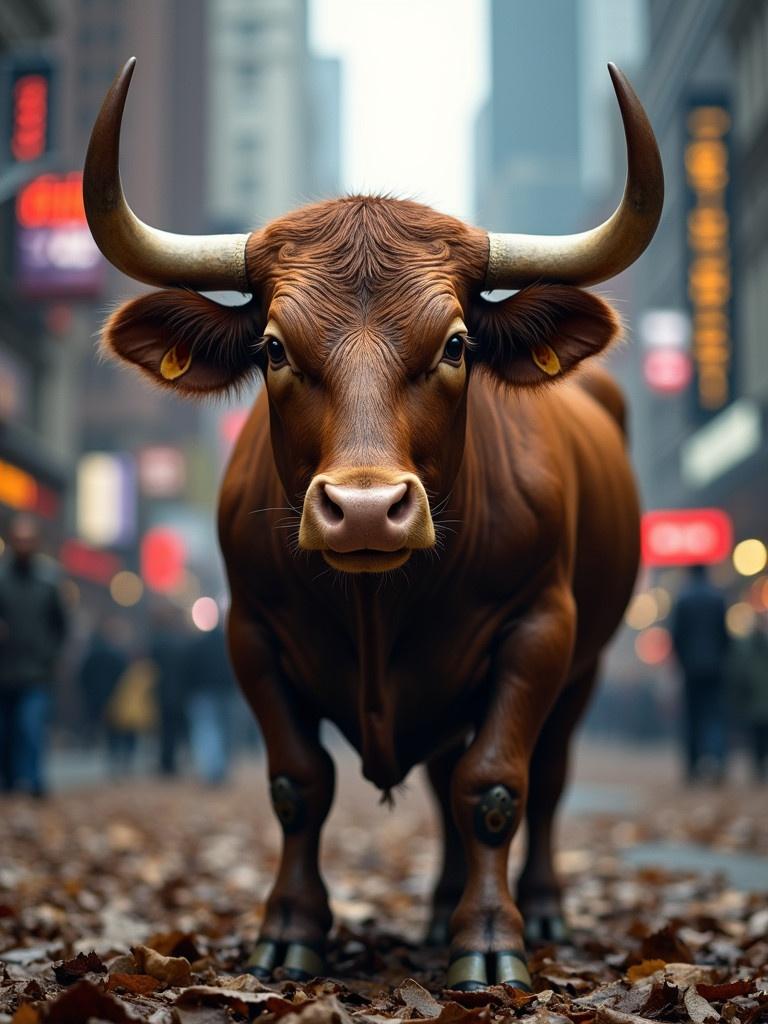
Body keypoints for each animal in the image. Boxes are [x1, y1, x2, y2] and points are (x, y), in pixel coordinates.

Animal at [82, 59, 663, 987]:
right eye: (274, 348)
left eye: (457, 344)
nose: (363, 509)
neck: (379, 603)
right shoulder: (249, 635)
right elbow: (299, 784)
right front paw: (289, 930)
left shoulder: (541, 629)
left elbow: (495, 786)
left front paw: (490, 941)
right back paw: (438, 907)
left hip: (585, 665)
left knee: (547, 775)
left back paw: (538, 908)